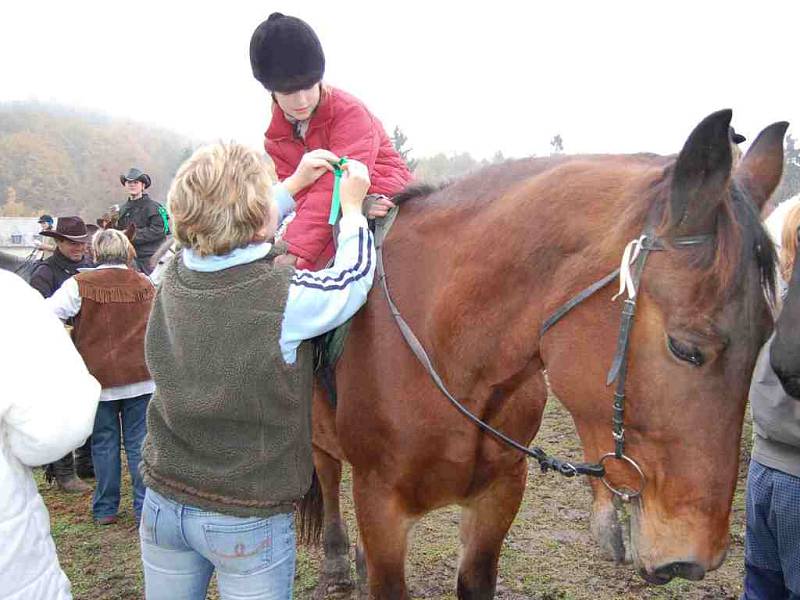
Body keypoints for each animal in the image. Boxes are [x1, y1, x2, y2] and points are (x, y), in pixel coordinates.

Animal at [310, 110, 788, 596]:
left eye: (765, 340)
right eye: (685, 348)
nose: (694, 559)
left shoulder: (500, 494)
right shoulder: (379, 504)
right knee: (327, 473)